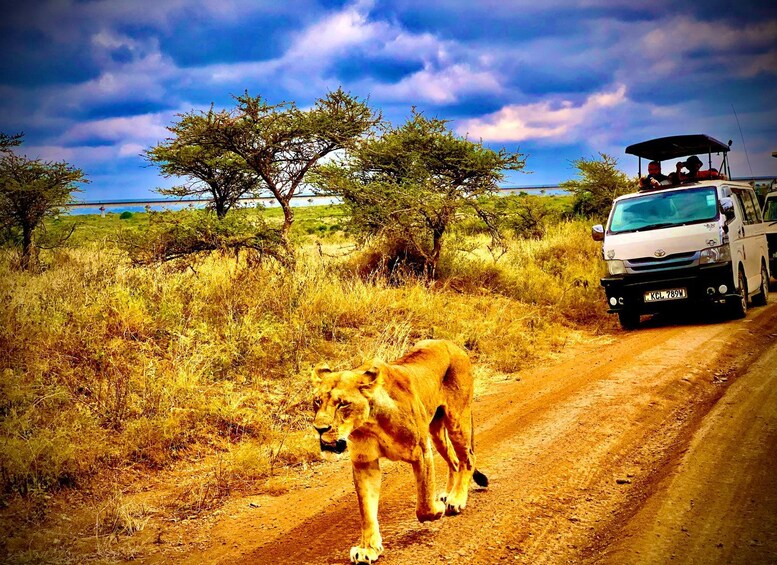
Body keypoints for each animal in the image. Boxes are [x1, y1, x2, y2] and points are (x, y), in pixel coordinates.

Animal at [311, 339, 488, 564]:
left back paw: (456, 499)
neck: (369, 424)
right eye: (317, 401)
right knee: (454, 461)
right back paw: (449, 494)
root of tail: (452, 344)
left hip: (457, 420)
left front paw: (437, 508)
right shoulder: (364, 462)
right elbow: (367, 510)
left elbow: (424, 505)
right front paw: (368, 548)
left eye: (343, 404)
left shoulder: (421, 451)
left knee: (468, 459)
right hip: (437, 432)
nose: (319, 428)